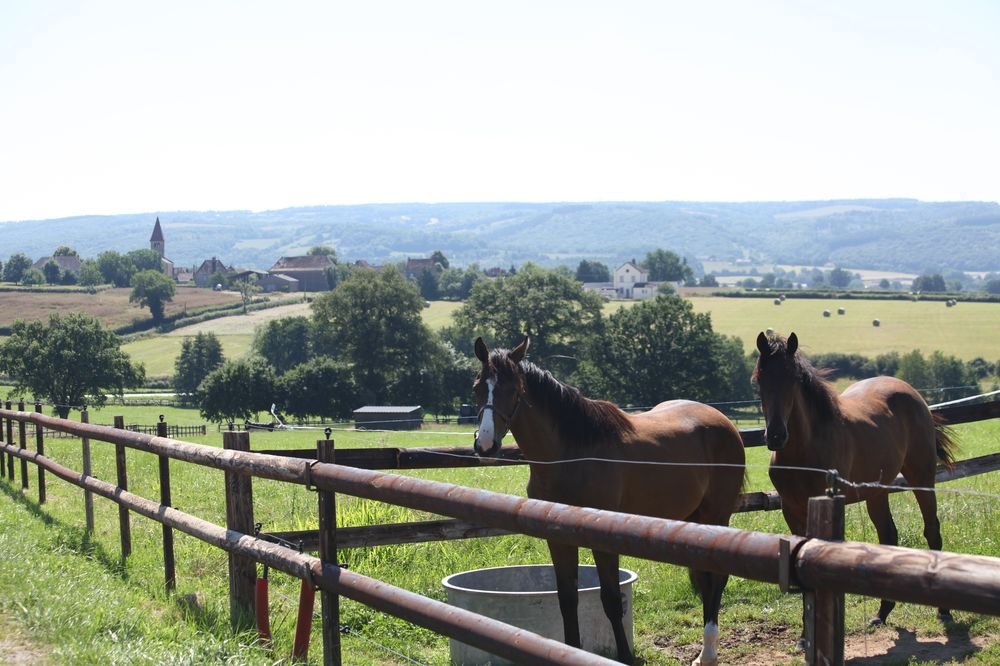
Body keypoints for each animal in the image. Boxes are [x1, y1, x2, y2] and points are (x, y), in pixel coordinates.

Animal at [473, 336, 746, 666]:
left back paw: (708, 653)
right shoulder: (558, 539)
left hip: (717, 515)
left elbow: (612, 600)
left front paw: (626, 655)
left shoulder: (603, 540)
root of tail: (724, 422)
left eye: (513, 389)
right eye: (477, 387)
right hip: (694, 518)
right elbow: (567, 599)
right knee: (706, 581)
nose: (486, 444)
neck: (571, 455)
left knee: (716, 580)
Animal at [753, 331, 957, 632]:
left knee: (932, 531)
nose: (776, 436)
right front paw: (804, 632)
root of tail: (914, 394)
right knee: (888, 535)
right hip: (876, 492)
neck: (804, 448)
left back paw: (943, 610)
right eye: (759, 379)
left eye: (793, 379)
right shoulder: (791, 509)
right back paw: (882, 612)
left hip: (922, 477)